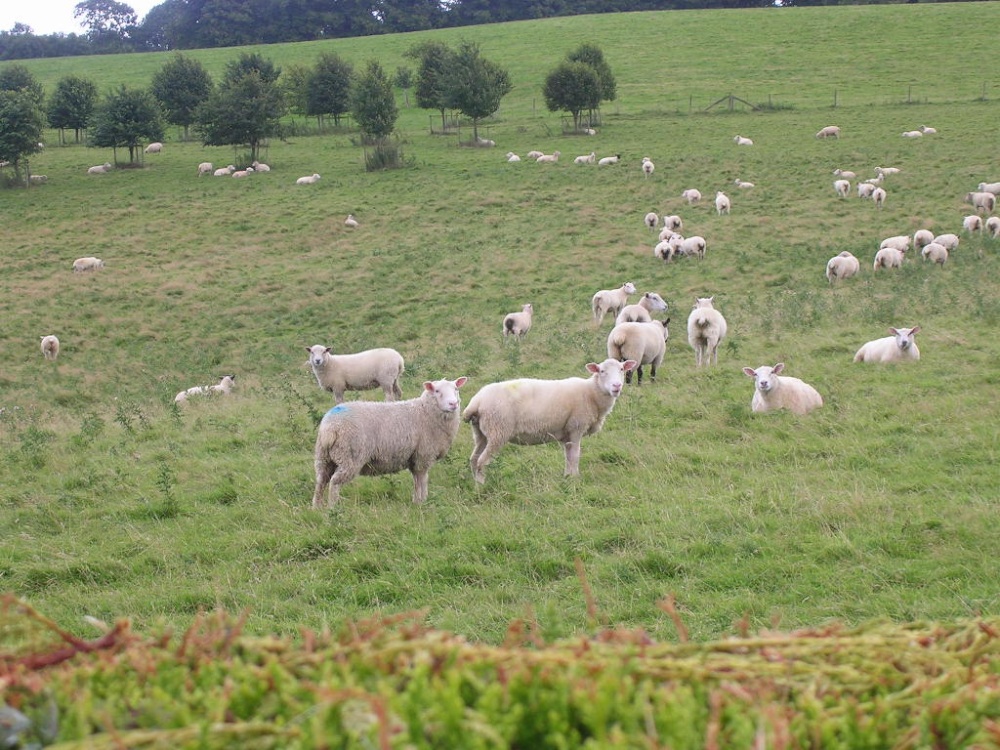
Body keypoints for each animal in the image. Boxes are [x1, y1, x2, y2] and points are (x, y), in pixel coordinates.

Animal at [311, 376, 468, 508]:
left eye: (456, 389)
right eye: (437, 390)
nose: (453, 403)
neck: (425, 411)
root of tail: (330, 427)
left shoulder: (414, 458)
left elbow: (417, 481)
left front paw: (416, 501)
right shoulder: (423, 456)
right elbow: (422, 480)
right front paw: (422, 502)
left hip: (324, 457)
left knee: (321, 481)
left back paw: (317, 508)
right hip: (349, 456)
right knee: (334, 483)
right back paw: (333, 508)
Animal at [463, 358, 636, 484]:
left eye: (622, 369)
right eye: (602, 371)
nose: (617, 386)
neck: (591, 393)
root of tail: (476, 401)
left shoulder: (567, 433)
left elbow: (568, 456)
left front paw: (567, 477)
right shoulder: (576, 427)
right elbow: (575, 456)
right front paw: (575, 479)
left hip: (481, 433)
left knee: (473, 459)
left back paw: (474, 482)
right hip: (498, 431)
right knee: (481, 461)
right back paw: (481, 486)